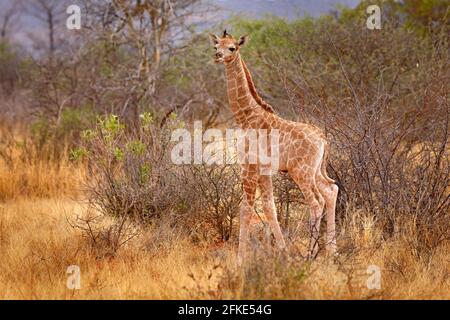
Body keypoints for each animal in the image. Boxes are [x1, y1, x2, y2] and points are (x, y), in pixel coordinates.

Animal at [211, 30, 338, 264]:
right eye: (216, 45)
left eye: (232, 47)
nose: (218, 56)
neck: (246, 117)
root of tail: (323, 140)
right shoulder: (265, 171)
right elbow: (270, 208)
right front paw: (283, 251)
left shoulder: (249, 167)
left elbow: (246, 209)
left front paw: (240, 259)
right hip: (315, 171)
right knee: (331, 191)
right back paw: (332, 252)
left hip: (301, 172)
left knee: (316, 202)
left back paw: (311, 254)